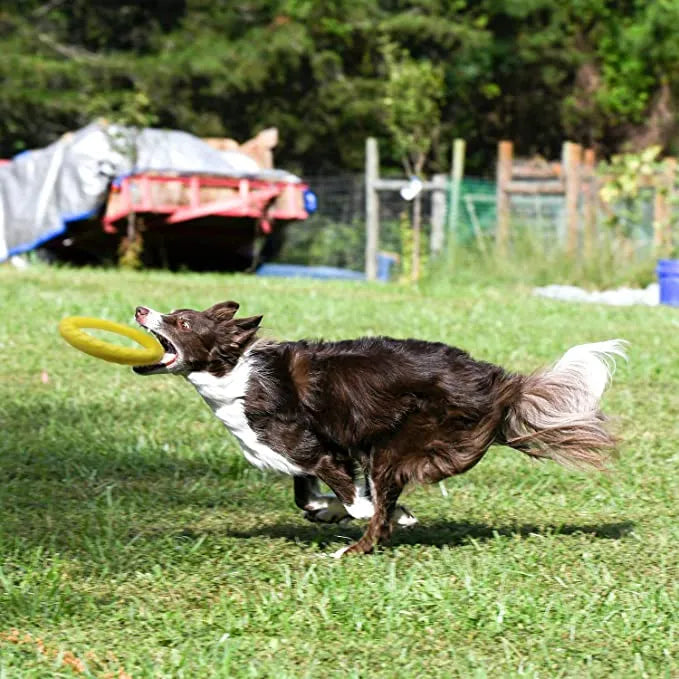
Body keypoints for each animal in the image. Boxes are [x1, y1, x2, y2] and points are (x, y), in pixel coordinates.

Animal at [133, 302, 628, 556]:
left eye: (181, 321)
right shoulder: (316, 454)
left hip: (398, 443)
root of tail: (500, 382)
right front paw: (330, 511)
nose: (140, 310)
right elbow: (306, 498)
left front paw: (384, 514)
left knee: (379, 503)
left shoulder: (317, 449)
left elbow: (358, 504)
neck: (235, 374)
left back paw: (352, 550)